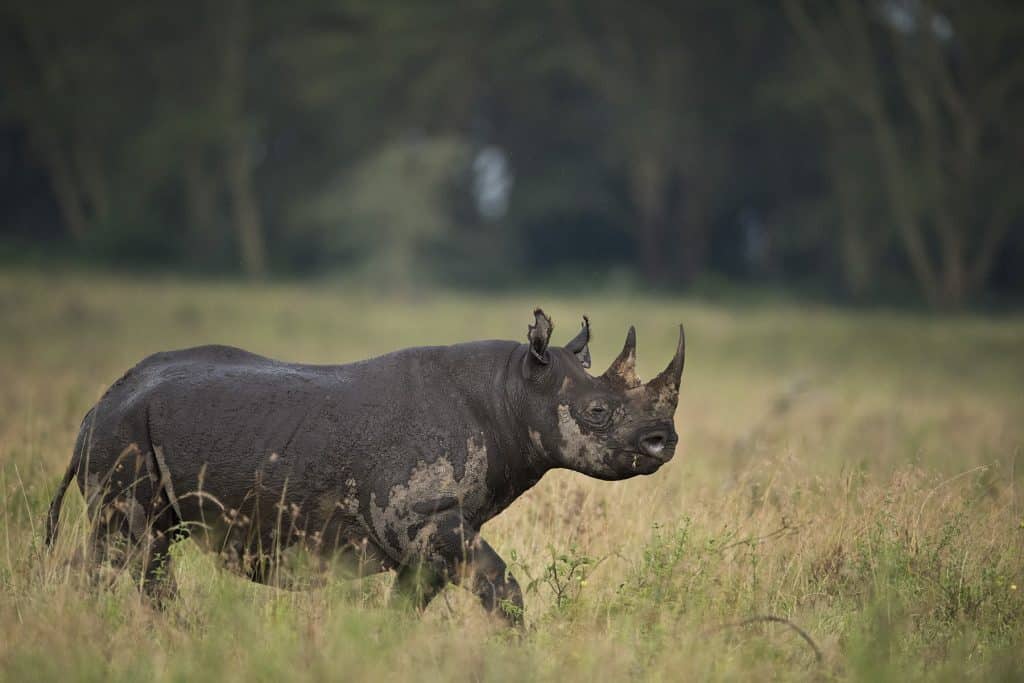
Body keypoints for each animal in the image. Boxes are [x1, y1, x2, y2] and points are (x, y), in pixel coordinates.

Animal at [48, 309, 688, 626]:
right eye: (597, 412)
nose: (665, 441)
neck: (511, 389)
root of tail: (94, 407)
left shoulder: (426, 532)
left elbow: (408, 606)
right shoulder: (424, 515)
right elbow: (502, 588)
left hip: (131, 428)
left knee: (136, 551)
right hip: (123, 434)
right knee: (133, 547)